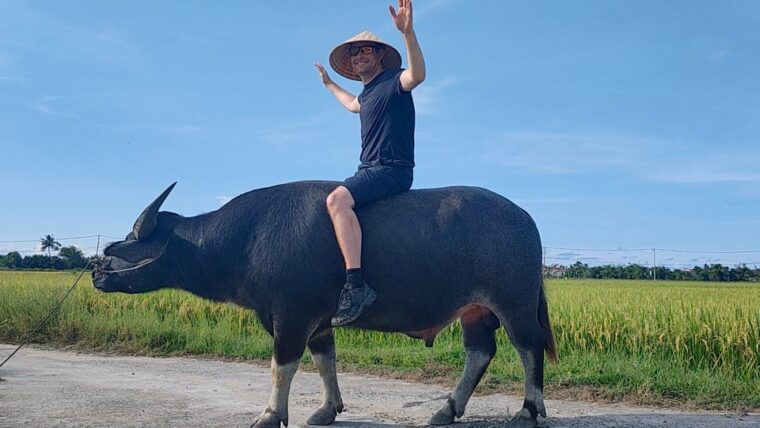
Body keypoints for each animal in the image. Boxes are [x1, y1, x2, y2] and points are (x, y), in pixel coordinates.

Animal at [92, 181, 556, 427]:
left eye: (133, 240)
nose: (98, 270)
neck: (246, 240)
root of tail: (525, 219)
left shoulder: (291, 316)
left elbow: (282, 366)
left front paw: (270, 414)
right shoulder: (317, 323)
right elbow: (324, 361)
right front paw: (327, 409)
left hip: (513, 302)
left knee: (528, 348)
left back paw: (528, 411)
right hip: (473, 311)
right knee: (480, 352)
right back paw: (447, 409)